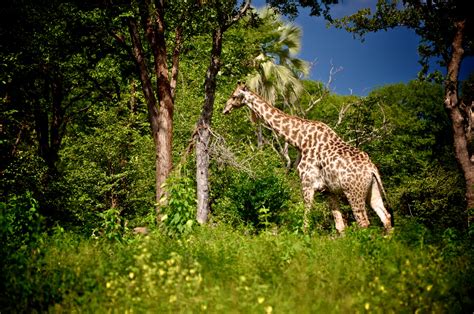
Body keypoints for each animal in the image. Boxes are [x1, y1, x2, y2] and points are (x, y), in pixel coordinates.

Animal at [223, 82, 392, 232]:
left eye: (234, 96)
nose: (224, 109)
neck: (299, 140)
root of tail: (372, 169)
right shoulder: (328, 190)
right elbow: (340, 226)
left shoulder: (307, 183)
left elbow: (306, 221)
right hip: (372, 190)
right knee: (386, 217)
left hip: (353, 192)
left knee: (364, 222)